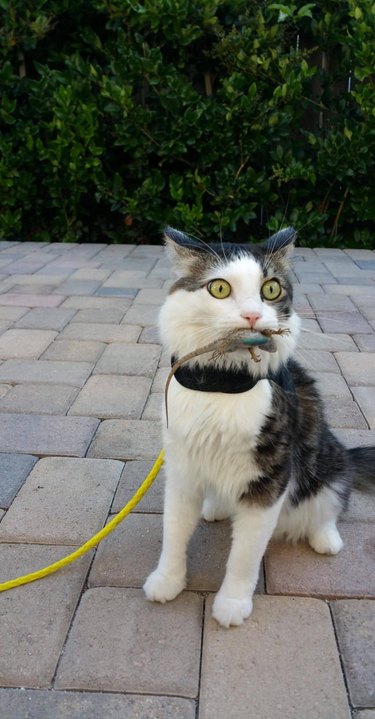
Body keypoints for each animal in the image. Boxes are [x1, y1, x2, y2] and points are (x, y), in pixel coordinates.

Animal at [143, 228, 374, 628]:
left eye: (271, 289)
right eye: (219, 288)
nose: (252, 315)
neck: (222, 384)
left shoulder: (271, 480)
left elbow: (244, 555)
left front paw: (232, 604)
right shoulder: (182, 468)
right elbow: (173, 532)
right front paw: (167, 581)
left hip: (325, 460)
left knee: (332, 501)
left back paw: (326, 539)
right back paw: (216, 506)